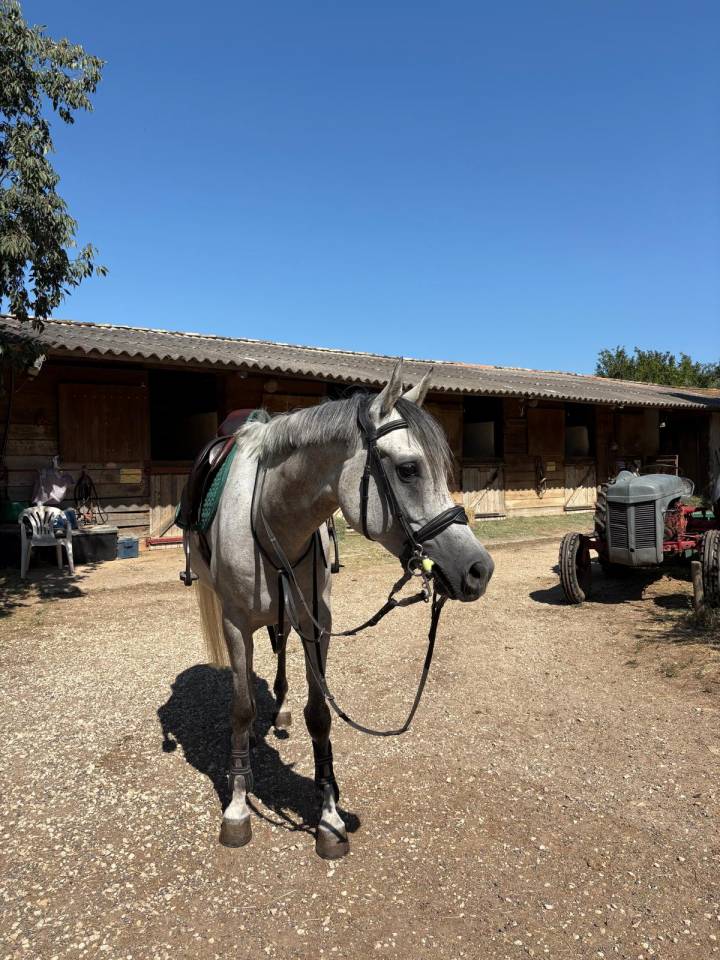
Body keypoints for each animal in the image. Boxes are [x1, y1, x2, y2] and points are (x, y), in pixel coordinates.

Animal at [188, 360, 494, 858]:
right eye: (408, 470)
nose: (479, 569)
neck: (271, 516)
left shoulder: (318, 623)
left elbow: (320, 715)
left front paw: (329, 815)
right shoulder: (234, 623)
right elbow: (241, 708)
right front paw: (236, 806)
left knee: (279, 647)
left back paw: (281, 711)